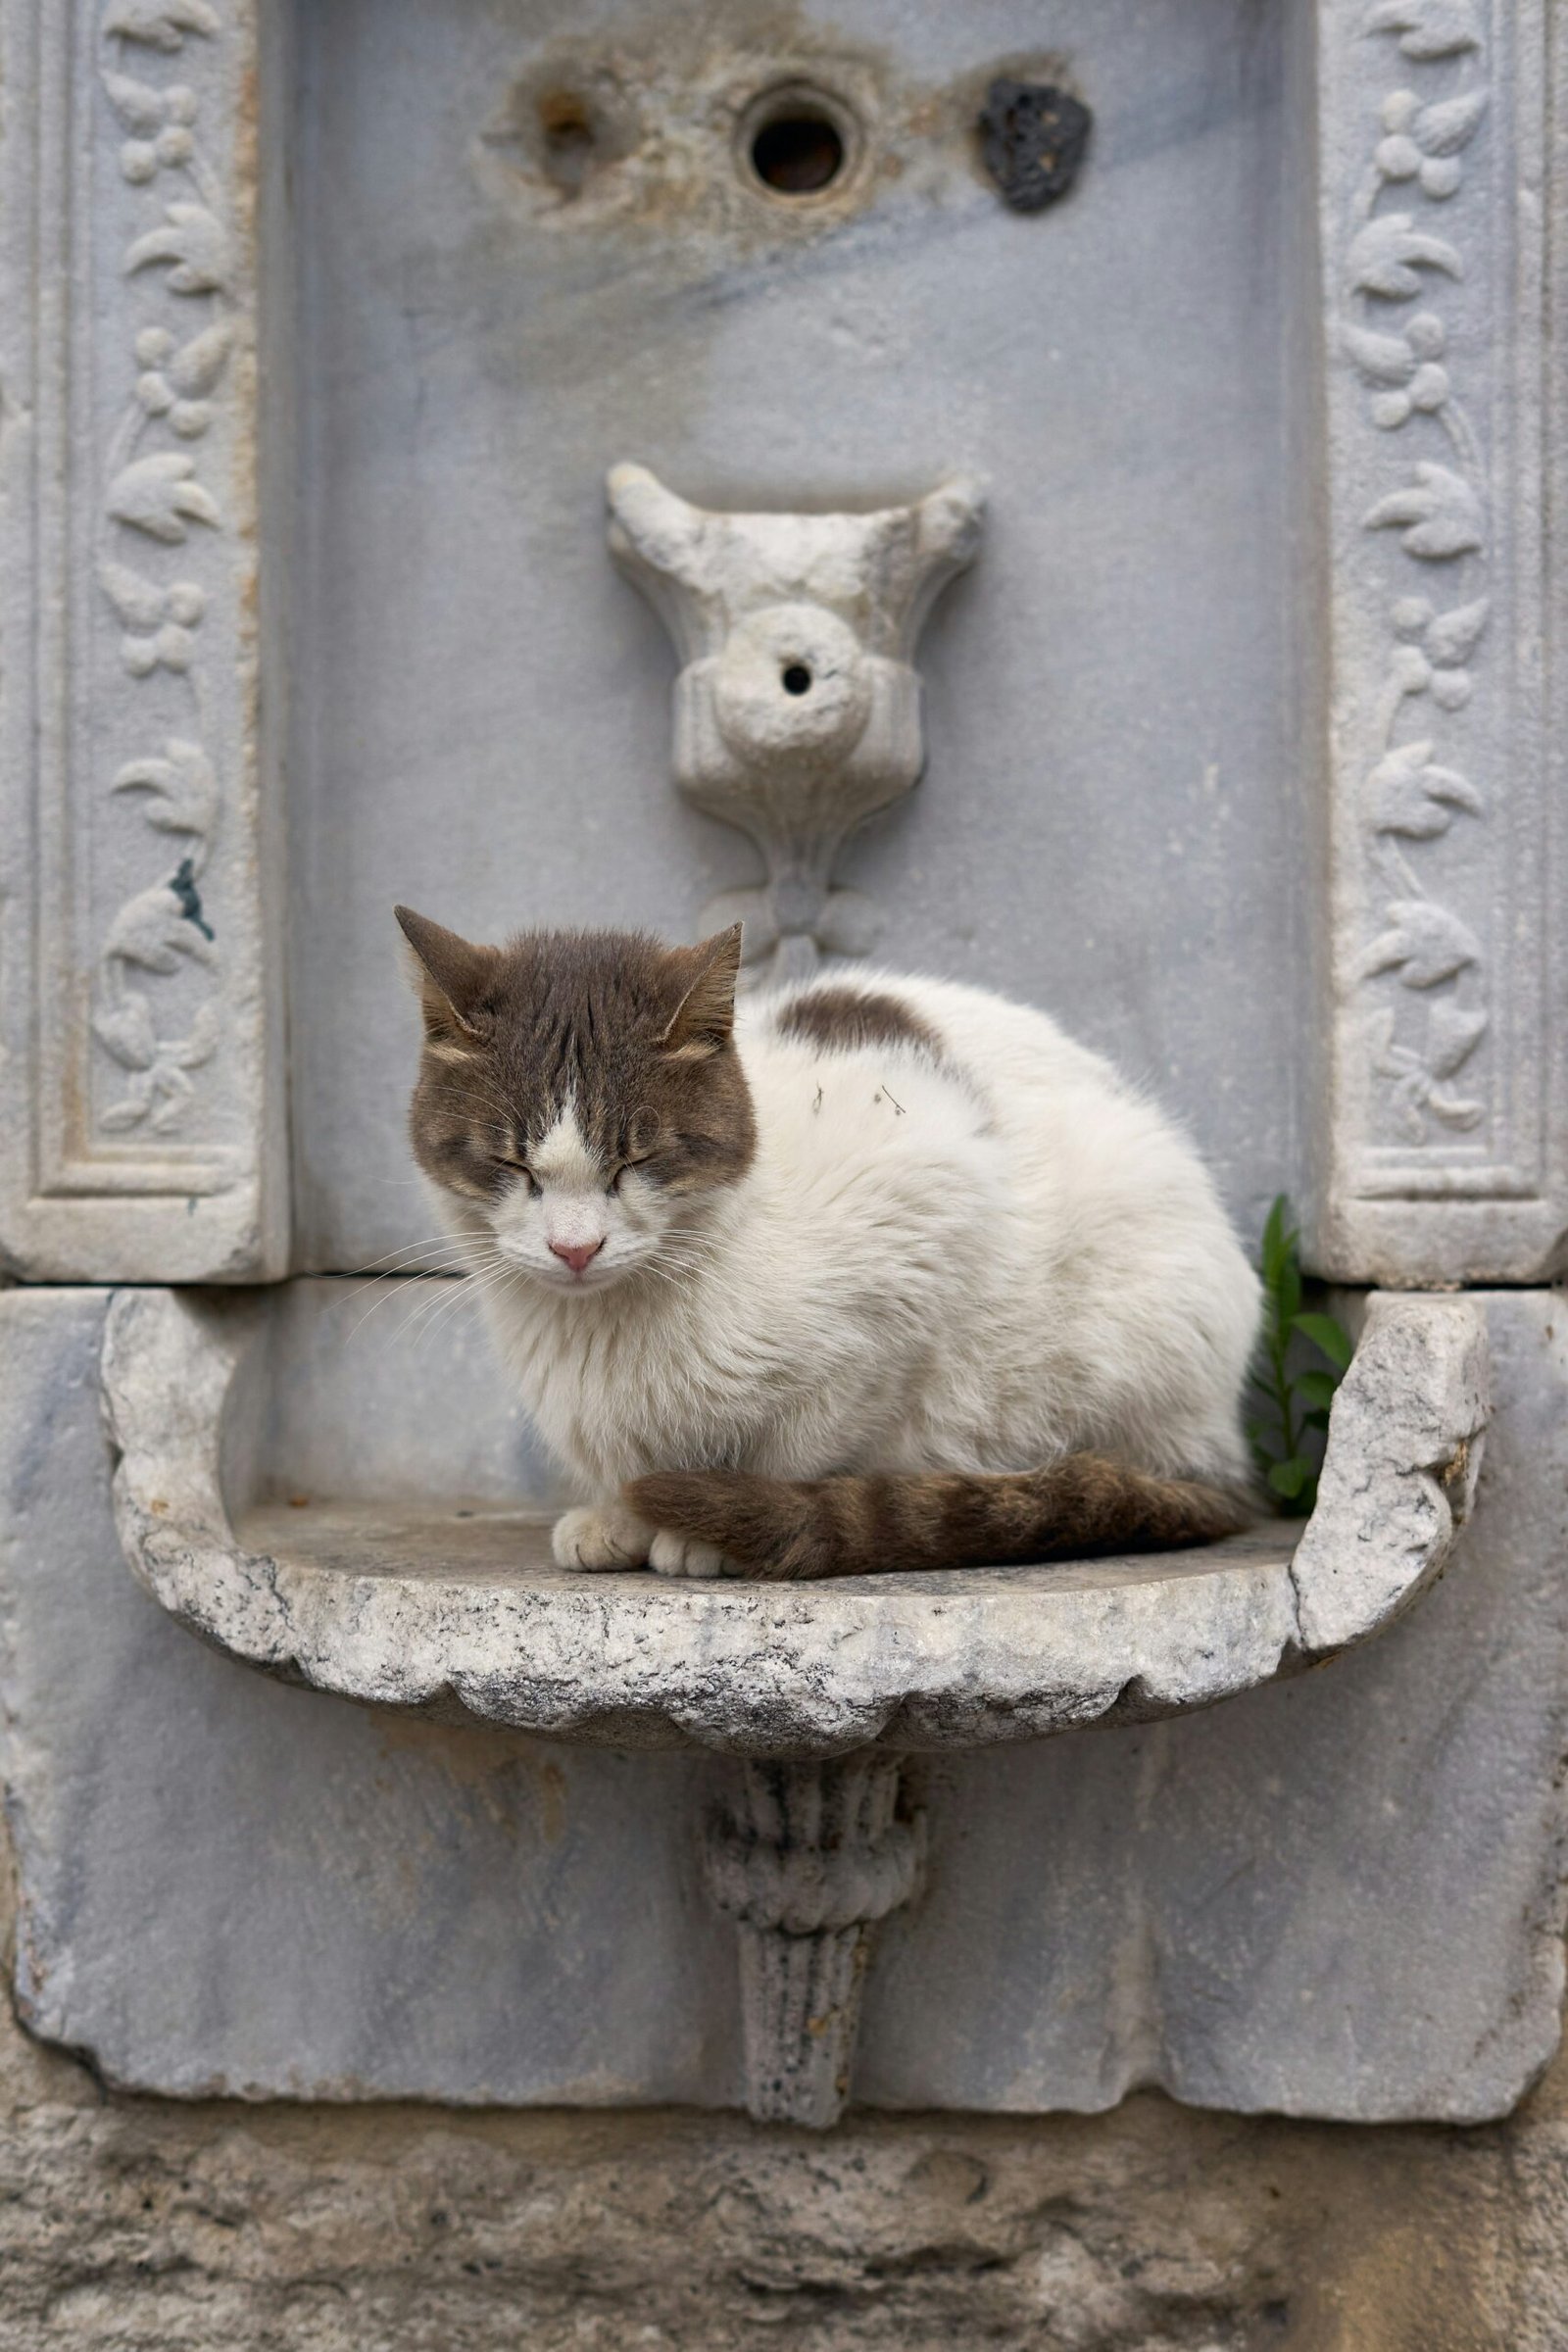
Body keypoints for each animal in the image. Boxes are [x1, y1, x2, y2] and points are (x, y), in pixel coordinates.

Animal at [394, 907, 1259, 1590]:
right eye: (510, 1164)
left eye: (636, 1161)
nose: (575, 1249)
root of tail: (1225, 1447)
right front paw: (620, 1515)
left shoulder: (927, 1221)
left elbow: (804, 1446)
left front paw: (710, 1531)